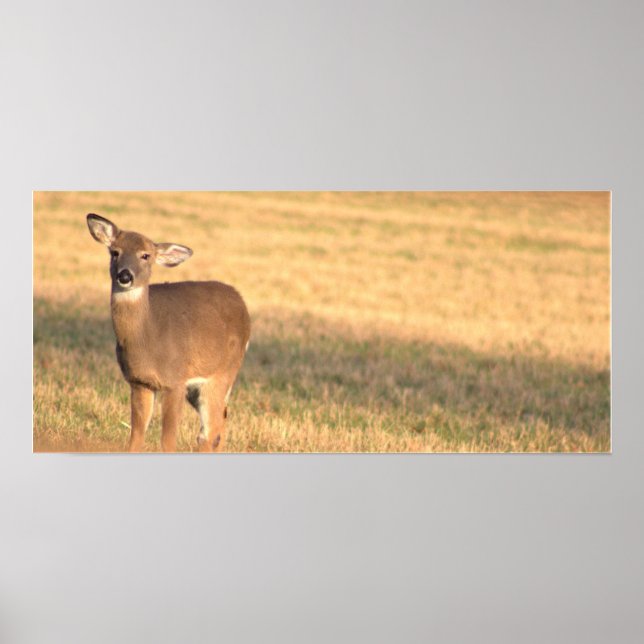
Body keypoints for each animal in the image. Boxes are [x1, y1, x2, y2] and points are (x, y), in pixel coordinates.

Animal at [86, 213, 251, 453]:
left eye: (145, 255)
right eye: (115, 252)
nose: (124, 276)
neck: (149, 336)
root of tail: (242, 304)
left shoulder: (175, 380)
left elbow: (168, 439)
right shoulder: (140, 382)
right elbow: (136, 436)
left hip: (222, 372)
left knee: (209, 432)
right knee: (220, 422)